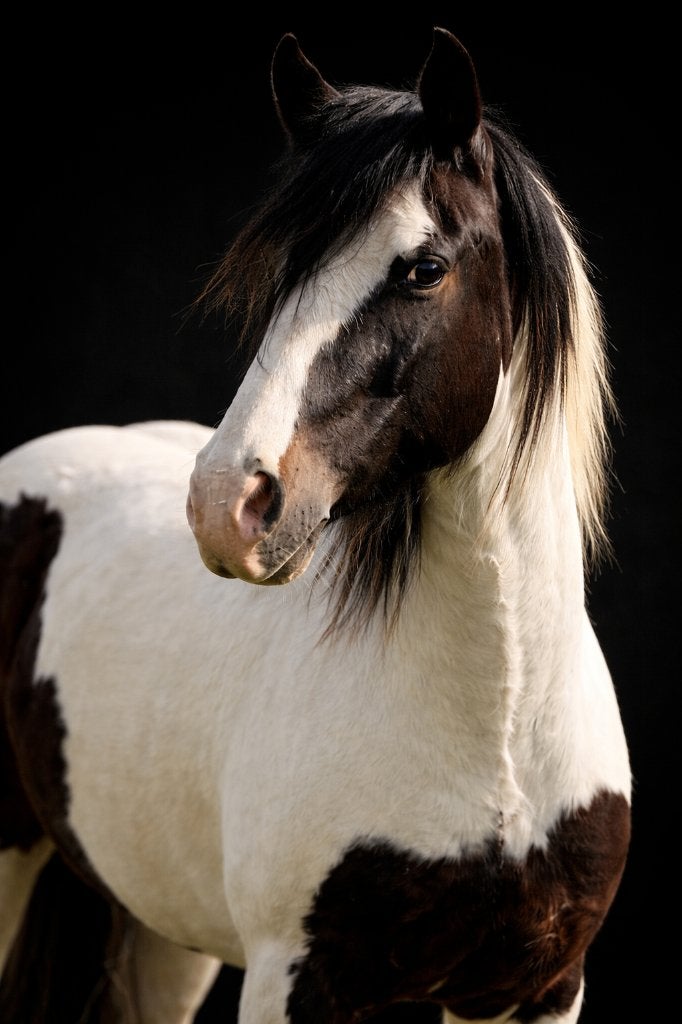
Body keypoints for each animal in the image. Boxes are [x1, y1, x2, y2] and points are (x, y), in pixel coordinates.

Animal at [0, 27, 631, 1024]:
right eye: (283, 276)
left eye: (423, 268)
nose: (226, 502)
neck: (501, 724)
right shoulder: (298, 979)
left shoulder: (537, 988)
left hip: (160, 938)